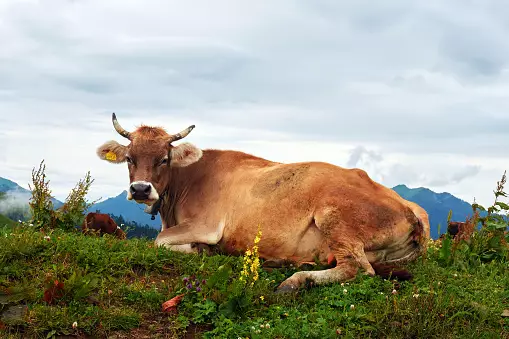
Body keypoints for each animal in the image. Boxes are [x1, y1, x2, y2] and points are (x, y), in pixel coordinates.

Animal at [95, 113, 428, 292]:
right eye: (129, 158)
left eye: (164, 159)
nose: (140, 189)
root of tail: (411, 207)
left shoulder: (206, 225)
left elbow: (160, 241)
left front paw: (201, 250)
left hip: (334, 217)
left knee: (357, 270)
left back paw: (294, 281)